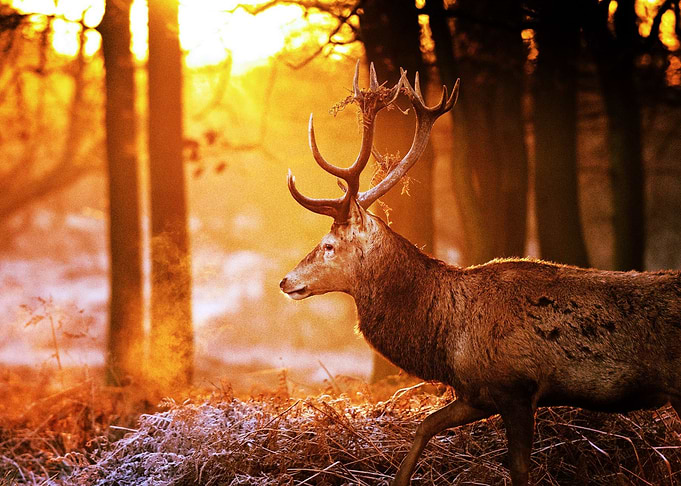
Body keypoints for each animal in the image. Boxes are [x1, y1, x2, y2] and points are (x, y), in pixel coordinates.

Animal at [279, 61, 681, 486]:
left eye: (328, 245)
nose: (286, 281)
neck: (447, 337)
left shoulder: (516, 386)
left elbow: (519, 467)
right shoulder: (476, 391)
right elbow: (425, 425)